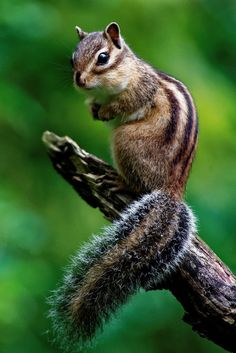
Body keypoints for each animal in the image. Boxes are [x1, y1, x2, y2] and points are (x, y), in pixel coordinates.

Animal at [49, 22, 197, 350]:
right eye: (72, 58)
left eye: (103, 58)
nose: (79, 80)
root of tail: (172, 190)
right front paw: (92, 107)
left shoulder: (140, 90)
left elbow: (127, 103)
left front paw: (105, 111)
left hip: (124, 140)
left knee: (135, 182)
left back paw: (117, 179)